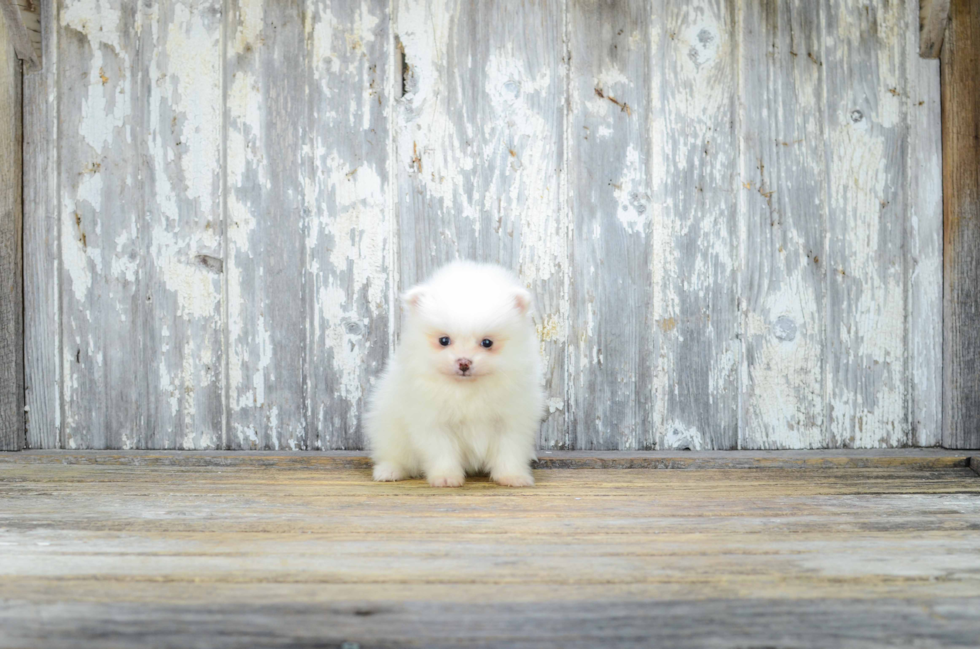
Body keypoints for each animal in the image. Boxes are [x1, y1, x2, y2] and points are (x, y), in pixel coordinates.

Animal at [364, 260, 544, 486]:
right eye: (444, 340)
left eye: (487, 343)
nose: (464, 362)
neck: (467, 389)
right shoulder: (434, 423)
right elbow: (442, 452)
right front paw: (446, 478)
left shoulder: (511, 422)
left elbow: (509, 451)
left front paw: (513, 477)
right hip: (389, 432)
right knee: (394, 456)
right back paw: (389, 471)